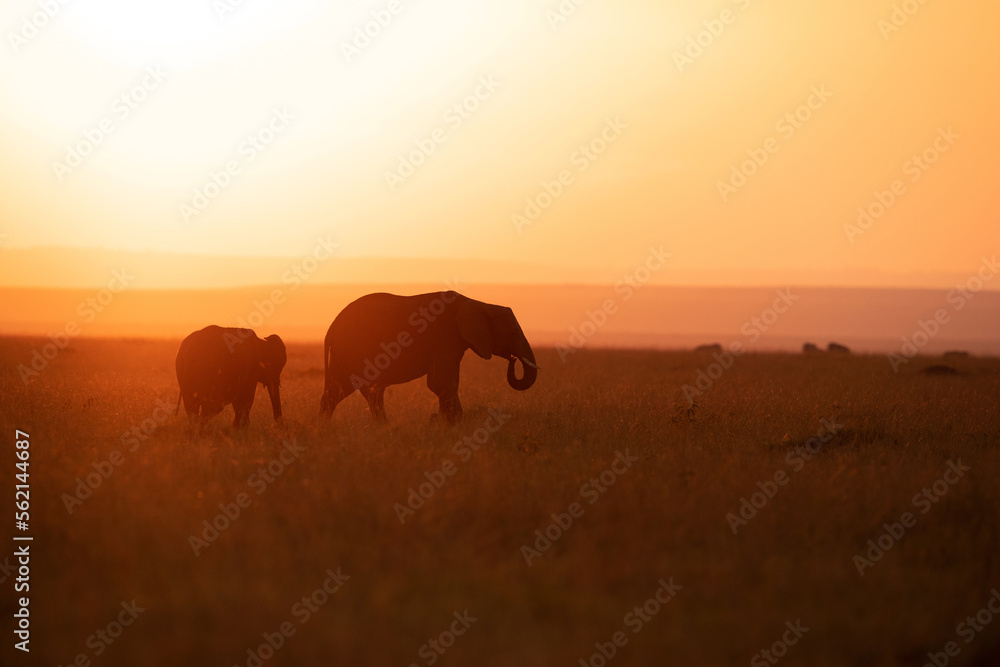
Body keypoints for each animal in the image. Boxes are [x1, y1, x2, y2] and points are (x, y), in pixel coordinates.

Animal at [320, 291, 538, 423]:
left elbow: (443, 383)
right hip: (353, 351)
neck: (478, 303)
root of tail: (331, 328)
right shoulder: (445, 337)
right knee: (364, 390)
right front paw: (455, 425)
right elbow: (441, 383)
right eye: (512, 333)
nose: (513, 359)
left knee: (341, 390)